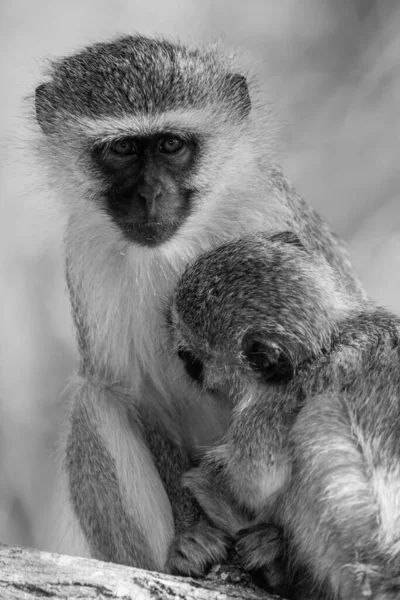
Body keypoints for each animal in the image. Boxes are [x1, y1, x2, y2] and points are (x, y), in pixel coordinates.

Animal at [170, 233, 400, 600]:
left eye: (193, 358)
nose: (180, 356)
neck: (329, 339)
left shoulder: (275, 402)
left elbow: (261, 481)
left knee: (315, 417)